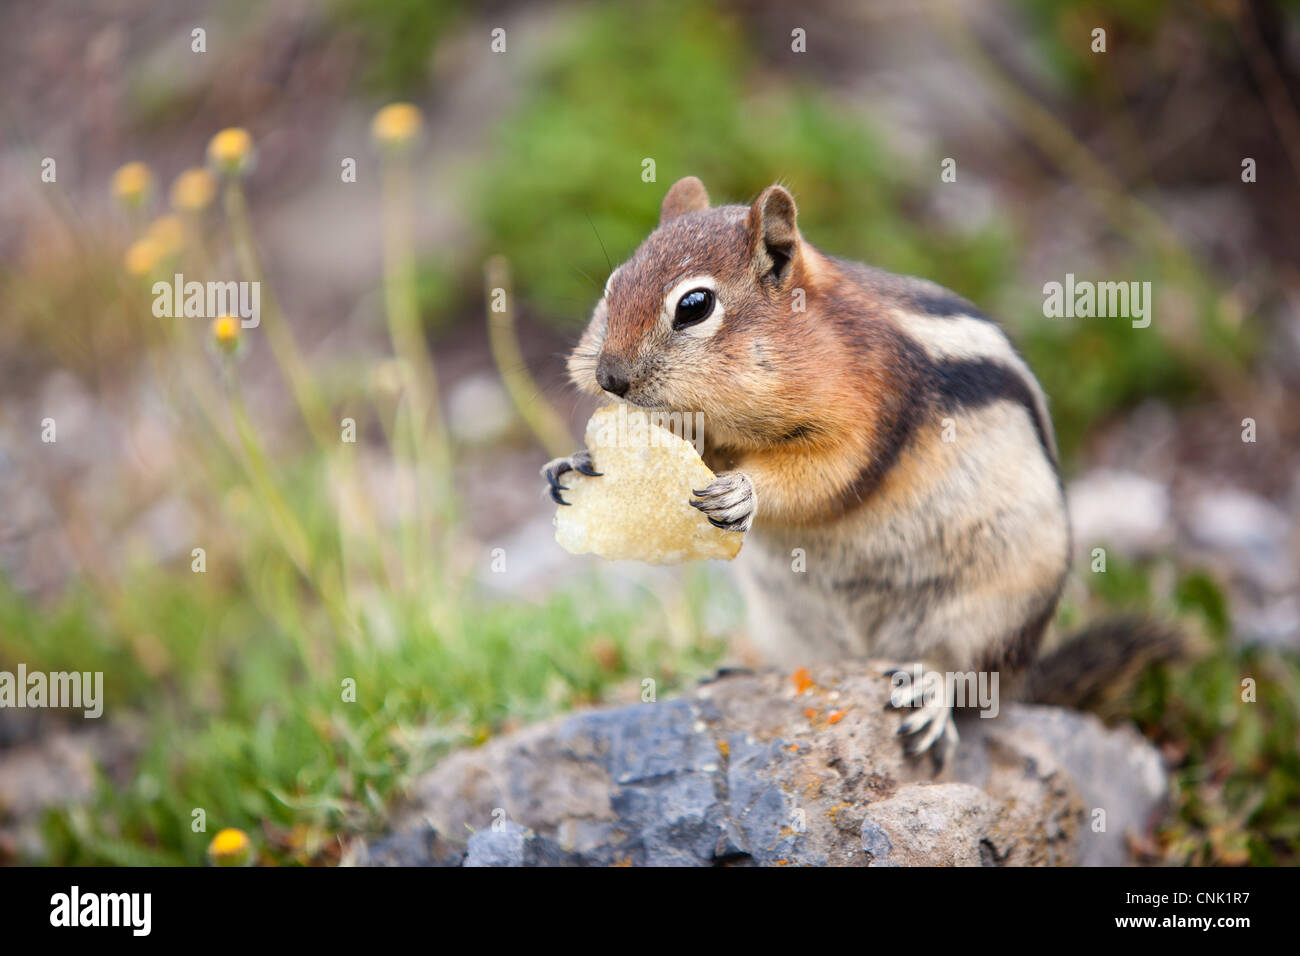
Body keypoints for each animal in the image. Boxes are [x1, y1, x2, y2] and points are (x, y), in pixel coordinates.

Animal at [546, 175, 1159, 764]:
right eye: (612, 285)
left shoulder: (867, 408)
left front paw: (742, 491)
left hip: (998, 604)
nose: (608, 377)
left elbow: (828, 474)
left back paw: (932, 696)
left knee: (969, 676)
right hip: (785, 621)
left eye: (694, 305)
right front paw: (578, 461)